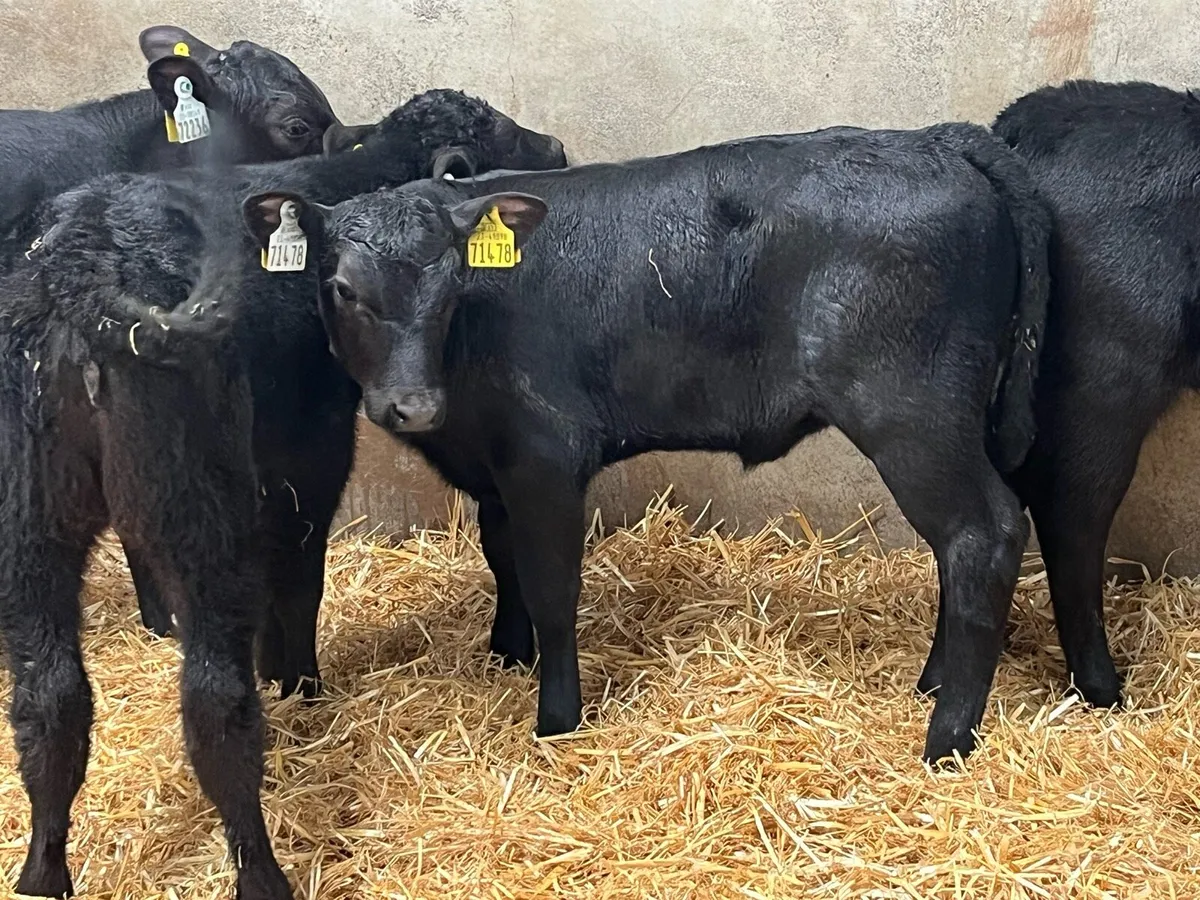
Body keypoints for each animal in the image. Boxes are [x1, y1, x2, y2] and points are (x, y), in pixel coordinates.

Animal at [0, 89, 565, 899]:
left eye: (450, 288)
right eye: (495, 128)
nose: (552, 147)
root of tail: (77, 270)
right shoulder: (310, 450)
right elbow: (298, 578)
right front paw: (299, 685)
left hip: (28, 516)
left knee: (47, 697)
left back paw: (42, 871)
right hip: (193, 504)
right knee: (212, 699)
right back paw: (262, 871)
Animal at [240, 121, 1051, 765]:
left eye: (450, 289)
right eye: (342, 287)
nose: (414, 405)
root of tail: (932, 140)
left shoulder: (545, 458)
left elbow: (551, 587)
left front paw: (556, 718)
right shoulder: (498, 469)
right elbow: (503, 560)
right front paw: (507, 657)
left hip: (912, 417)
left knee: (983, 533)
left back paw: (946, 737)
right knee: (960, 546)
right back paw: (932, 685)